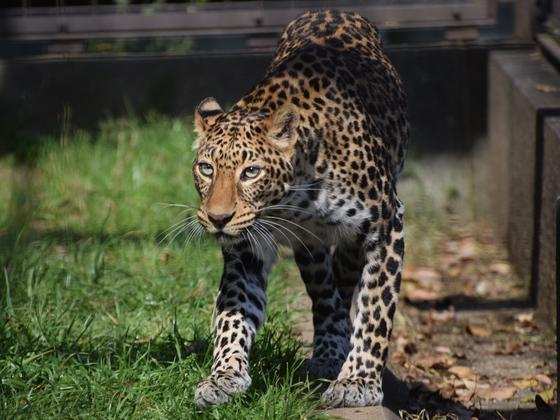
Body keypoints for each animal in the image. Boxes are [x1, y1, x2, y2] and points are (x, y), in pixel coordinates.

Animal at [191, 9, 406, 408]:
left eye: (251, 171)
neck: (293, 198)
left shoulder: (386, 224)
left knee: (345, 280)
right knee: (325, 294)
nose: (217, 218)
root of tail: (333, 11)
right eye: (206, 168)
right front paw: (224, 375)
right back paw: (328, 351)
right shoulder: (247, 245)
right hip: (310, 246)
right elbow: (233, 313)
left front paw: (360, 381)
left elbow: (376, 308)